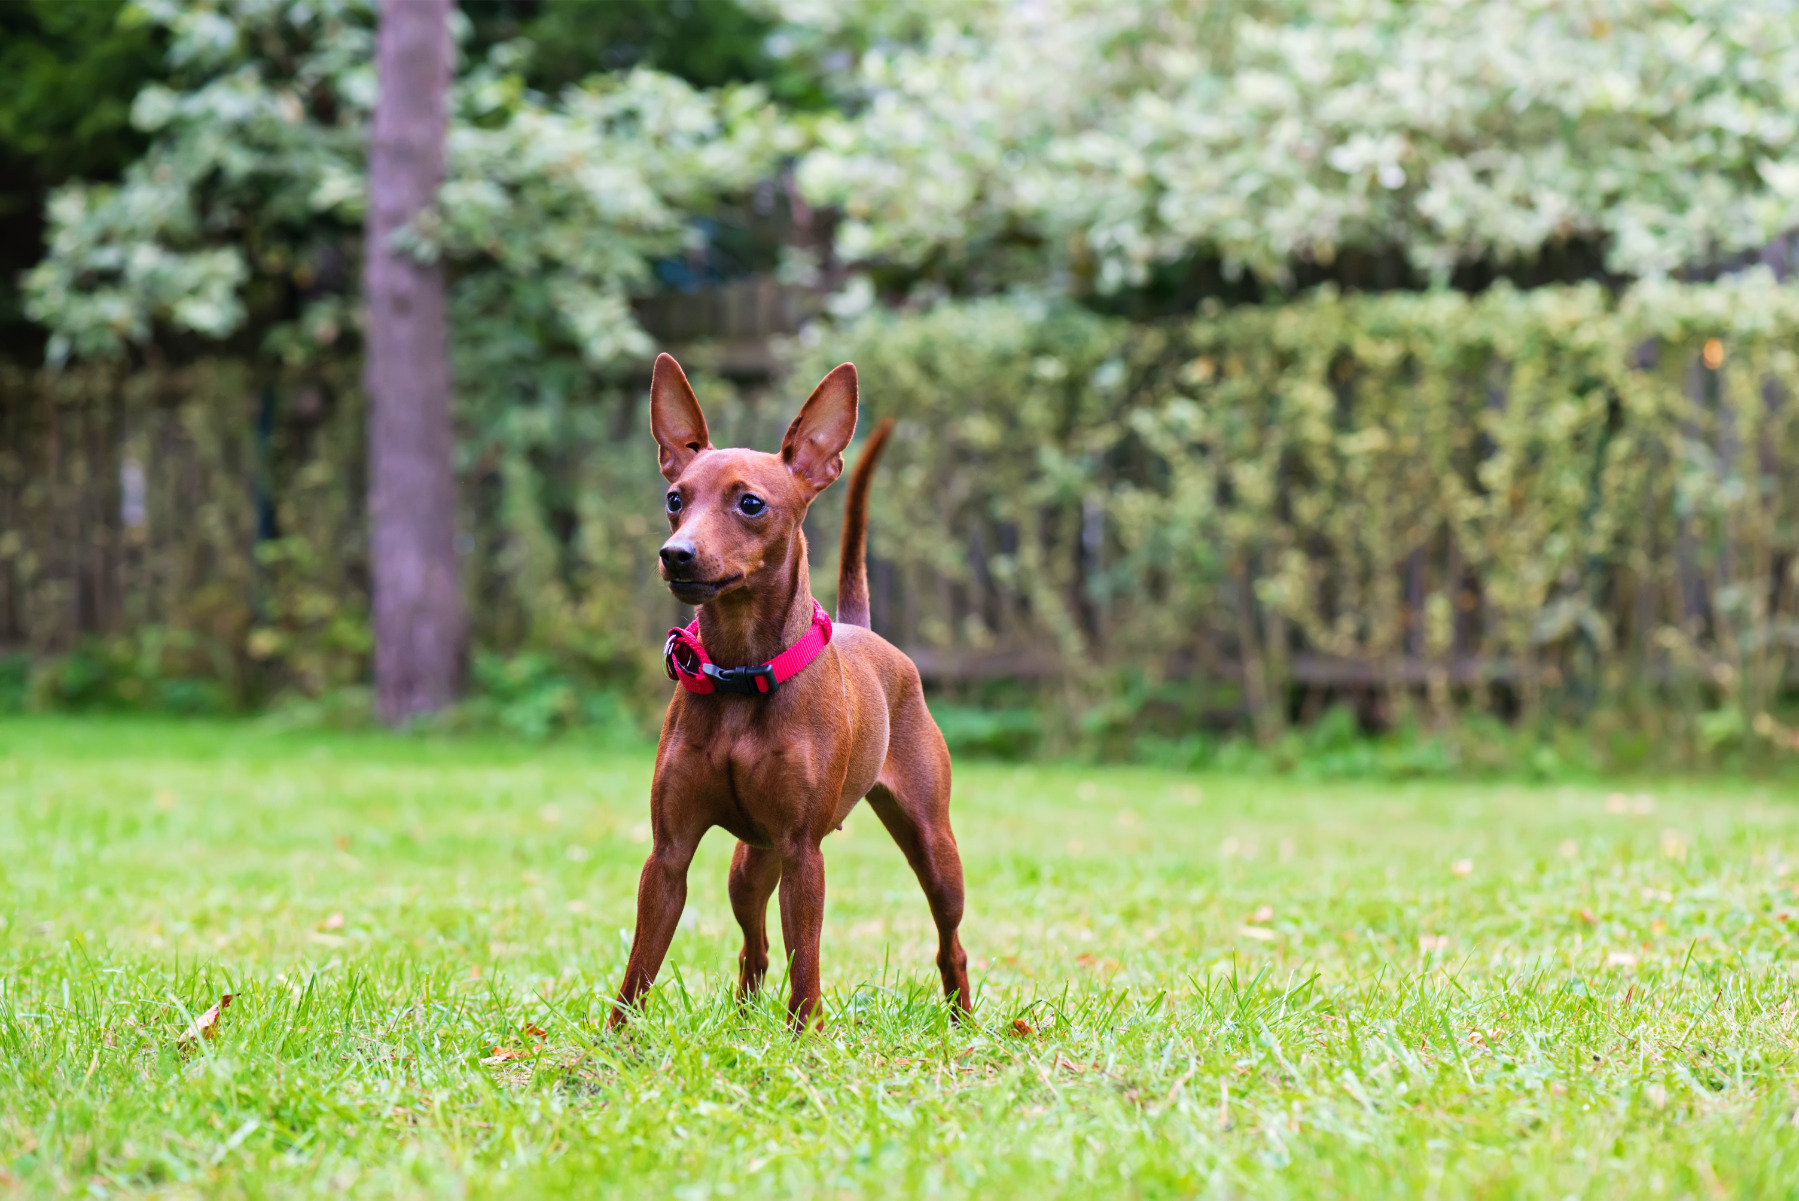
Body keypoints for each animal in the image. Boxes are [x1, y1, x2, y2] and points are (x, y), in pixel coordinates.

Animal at [608, 348, 978, 1035]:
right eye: (675, 498)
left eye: (751, 504)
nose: (675, 554)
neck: (740, 673)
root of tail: (866, 630)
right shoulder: (668, 855)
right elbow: (641, 962)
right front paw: (616, 1041)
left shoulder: (805, 853)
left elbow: (806, 957)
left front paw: (804, 1036)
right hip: (751, 862)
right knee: (753, 945)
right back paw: (746, 1016)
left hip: (932, 850)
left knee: (951, 943)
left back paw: (963, 1021)